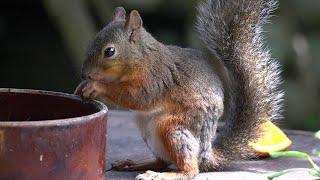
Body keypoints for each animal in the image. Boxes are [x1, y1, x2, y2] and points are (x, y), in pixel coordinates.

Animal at [74, 0, 282, 179]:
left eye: (109, 51)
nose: (84, 74)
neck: (142, 58)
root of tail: (207, 155)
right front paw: (81, 87)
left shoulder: (156, 79)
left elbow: (138, 98)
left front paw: (96, 86)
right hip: (148, 130)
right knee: (162, 161)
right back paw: (135, 164)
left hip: (172, 128)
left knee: (190, 170)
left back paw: (165, 175)